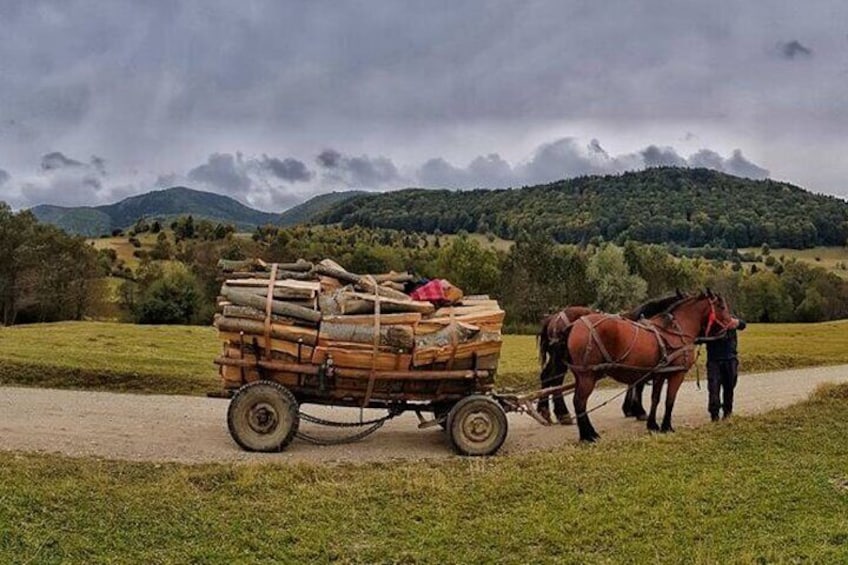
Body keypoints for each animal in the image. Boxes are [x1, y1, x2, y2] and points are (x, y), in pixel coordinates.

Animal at [564, 290, 736, 440]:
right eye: (722, 306)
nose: (731, 325)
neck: (676, 331)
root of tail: (575, 325)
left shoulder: (659, 374)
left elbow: (656, 399)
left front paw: (652, 425)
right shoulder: (677, 374)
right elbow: (669, 400)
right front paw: (666, 426)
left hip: (580, 376)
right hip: (587, 377)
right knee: (579, 402)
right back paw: (588, 435)